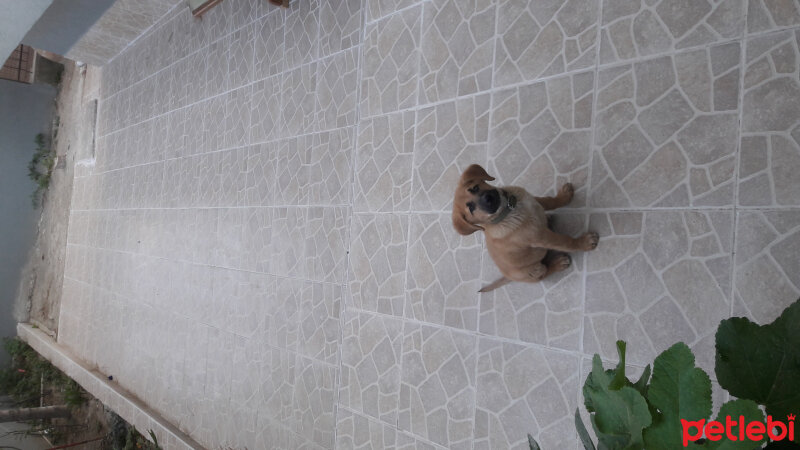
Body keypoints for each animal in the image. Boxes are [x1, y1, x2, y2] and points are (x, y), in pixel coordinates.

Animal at [450, 163, 600, 294]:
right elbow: (565, 241)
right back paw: (558, 263)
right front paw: (584, 243)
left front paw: (564, 197)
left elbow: (550, 201)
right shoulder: (541, 237)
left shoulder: (535, 200)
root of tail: (508, 277)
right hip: (535, 270)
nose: (488, 198)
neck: (509, 210)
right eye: (471, 208)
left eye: (474, 188)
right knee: (544, 272)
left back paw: (548, 219)